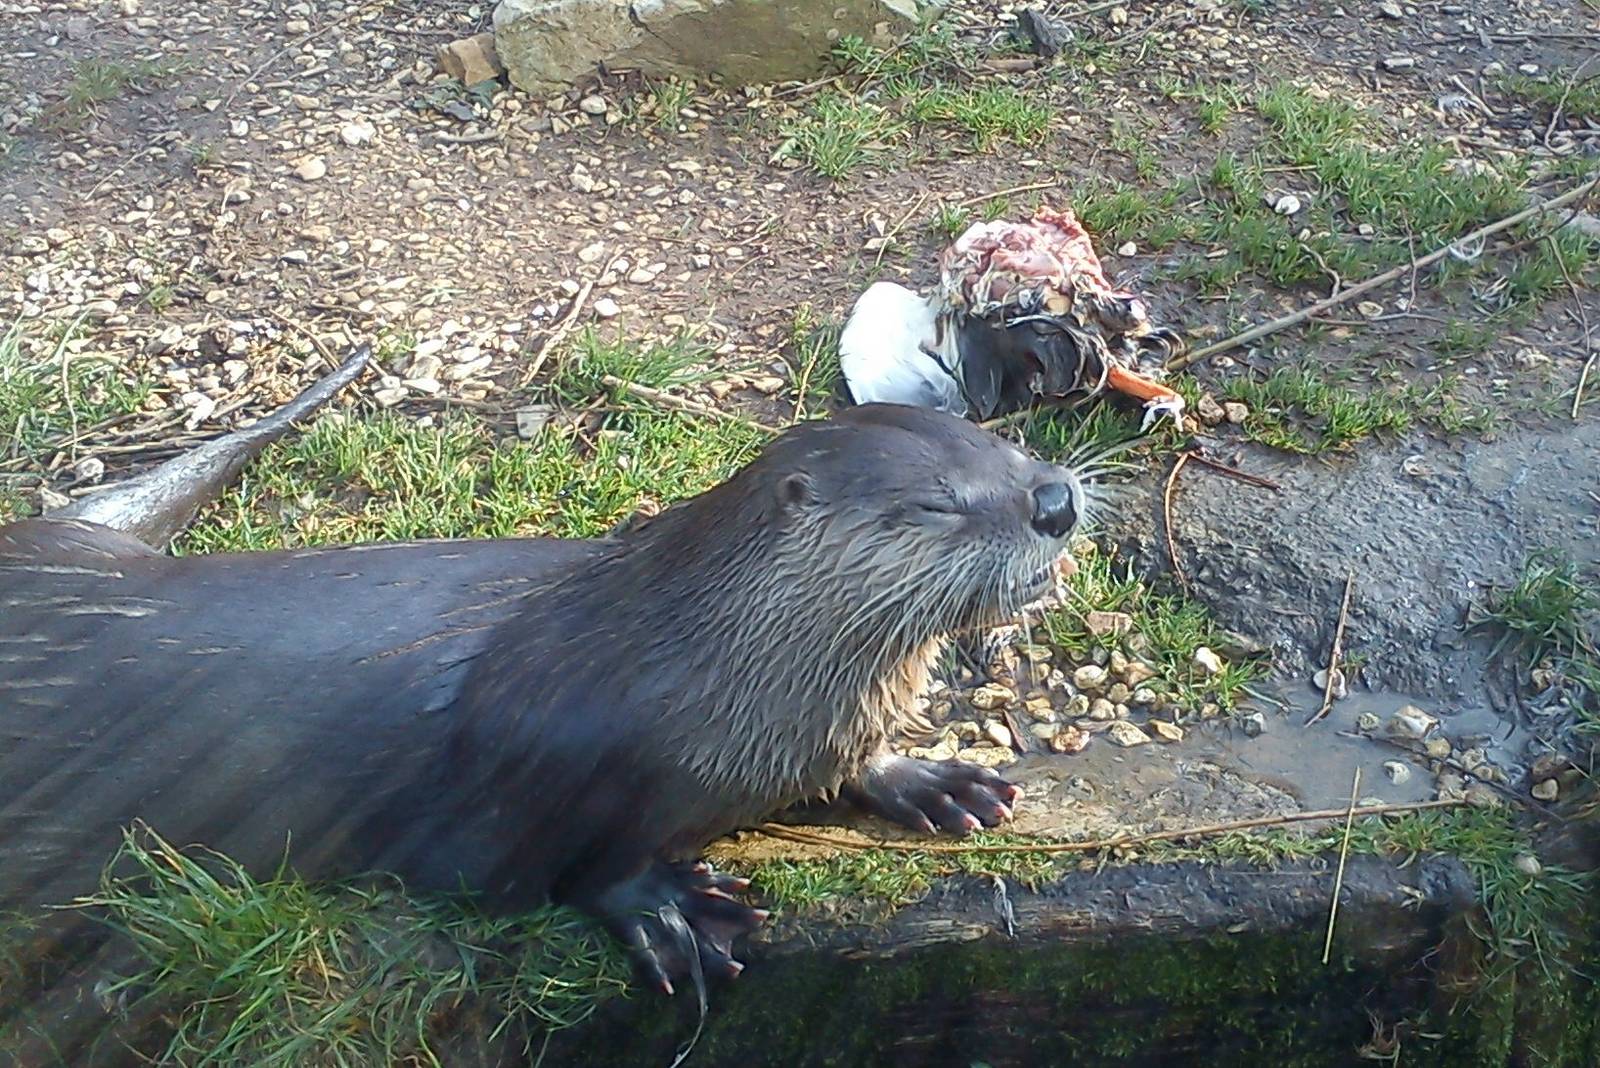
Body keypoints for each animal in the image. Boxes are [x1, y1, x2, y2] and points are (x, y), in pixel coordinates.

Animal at [0, 346, 1085, 993]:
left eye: (999, 440)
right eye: (936, 503)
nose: (1057, 499)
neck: (700, 678)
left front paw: (934, 782)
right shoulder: (531, 791)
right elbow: (565, 870)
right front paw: (673, 916)